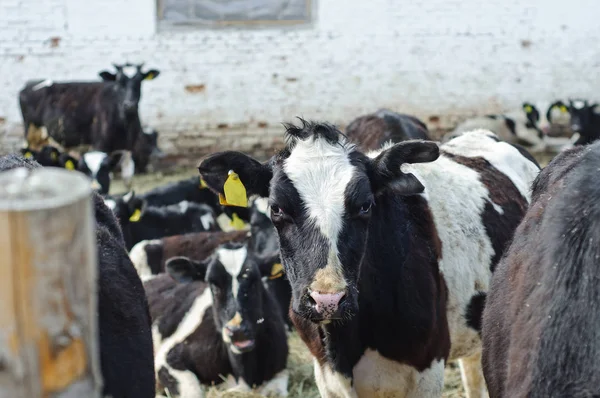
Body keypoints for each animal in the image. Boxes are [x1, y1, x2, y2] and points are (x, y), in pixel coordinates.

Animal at [18, 63, 161, 172]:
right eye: (119, 82)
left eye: (139, 81)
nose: (129, 105)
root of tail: (28, 84)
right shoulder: (100, 146)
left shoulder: (127, 150)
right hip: (31, 133)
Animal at [143, 241, 288, 396]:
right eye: (213, 284)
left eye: (255, 280)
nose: (237, 331)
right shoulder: (168, 356)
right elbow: (194, 392)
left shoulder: (280, 368)